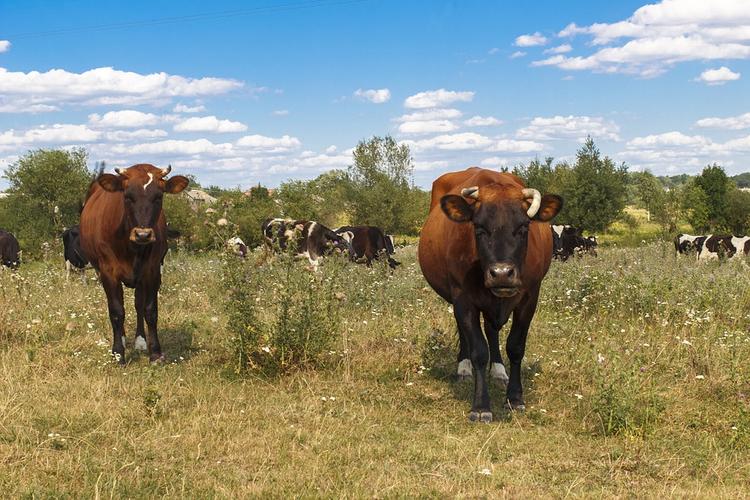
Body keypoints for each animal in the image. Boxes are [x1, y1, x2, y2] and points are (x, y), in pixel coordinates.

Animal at [79, 164, 188, 364]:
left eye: (158, 196)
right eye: (128, 196)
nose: (143, 234)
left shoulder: (152, 271)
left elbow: (149, 310)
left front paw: (155, 353)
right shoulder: (108, 273)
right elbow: (116, 312)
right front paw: (118, 353)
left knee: (138, 304)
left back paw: (140, 341)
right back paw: (122, 339)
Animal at [418, 168, 564, 422]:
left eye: (524, 228)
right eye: (479, 228)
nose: (502, 273)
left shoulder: (530, 297)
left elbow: (515, 346)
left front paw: (515, 398)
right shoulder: (463, 299)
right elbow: (478, 349)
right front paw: (480, 405)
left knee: (492, 331)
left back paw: (498, 370)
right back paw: (463, 368)